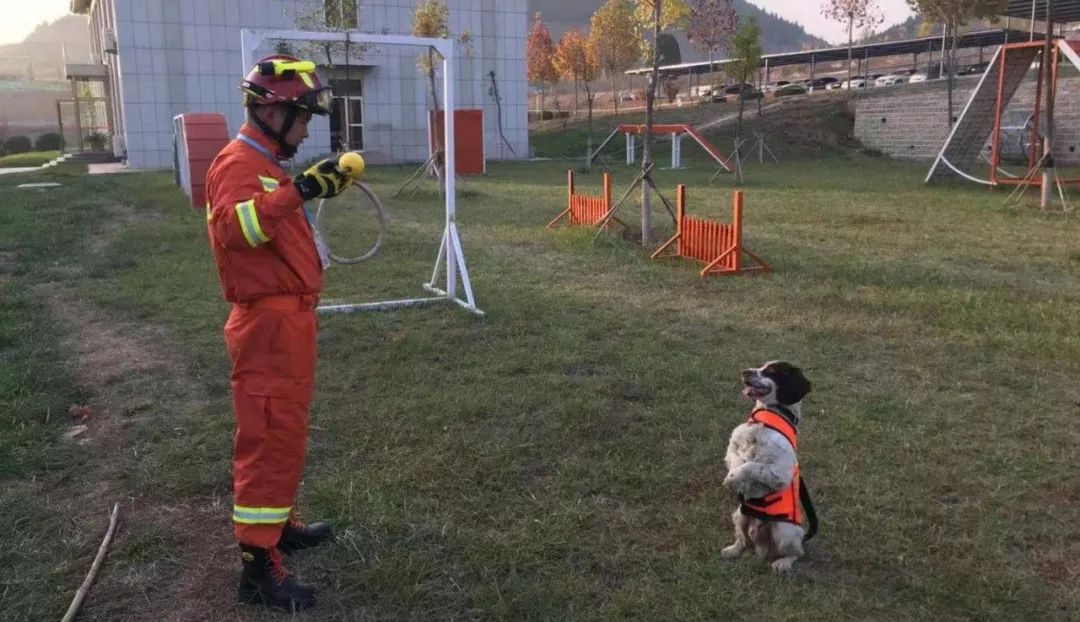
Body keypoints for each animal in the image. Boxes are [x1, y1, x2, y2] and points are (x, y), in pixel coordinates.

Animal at [721, 358, 812, 574]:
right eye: (761, 365)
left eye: (771, 371)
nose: (745, 372)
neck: (766, 418)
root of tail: (761, 546)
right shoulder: (732, 448)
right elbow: (738, 461)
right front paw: (733, 478)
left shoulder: (781, 473)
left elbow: (752, 465)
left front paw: (735, 477)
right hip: (739, 515)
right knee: (742, 541)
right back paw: (732, 550)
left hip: (786, 531)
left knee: (797, 552)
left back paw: (783, 563)